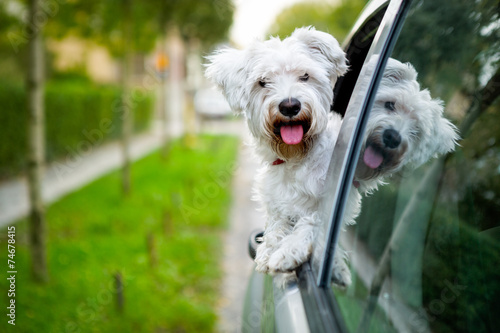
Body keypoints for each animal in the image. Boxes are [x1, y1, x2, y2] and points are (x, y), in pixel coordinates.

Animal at [206, 27, 348, 274]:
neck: (295, 158)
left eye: (305, 76)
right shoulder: (276, 203)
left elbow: (313, 220)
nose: (289, 106)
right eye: (263, 82)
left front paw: (290, 250)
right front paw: (268, 249)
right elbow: (277, 224)